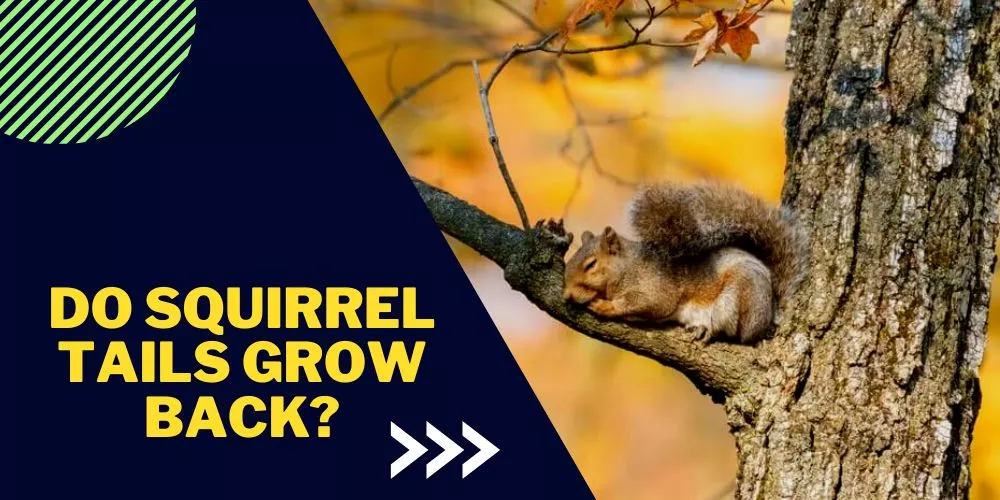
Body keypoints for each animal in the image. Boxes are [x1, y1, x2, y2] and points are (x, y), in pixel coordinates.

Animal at [562, 182, 808, 344]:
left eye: (591, 264)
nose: (566, 294)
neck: (628, 268)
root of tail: (770, 312)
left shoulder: (655, 289)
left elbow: (644, 303)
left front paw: (605, 306)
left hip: (738, 294)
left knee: (736, 332)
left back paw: (710, 330)